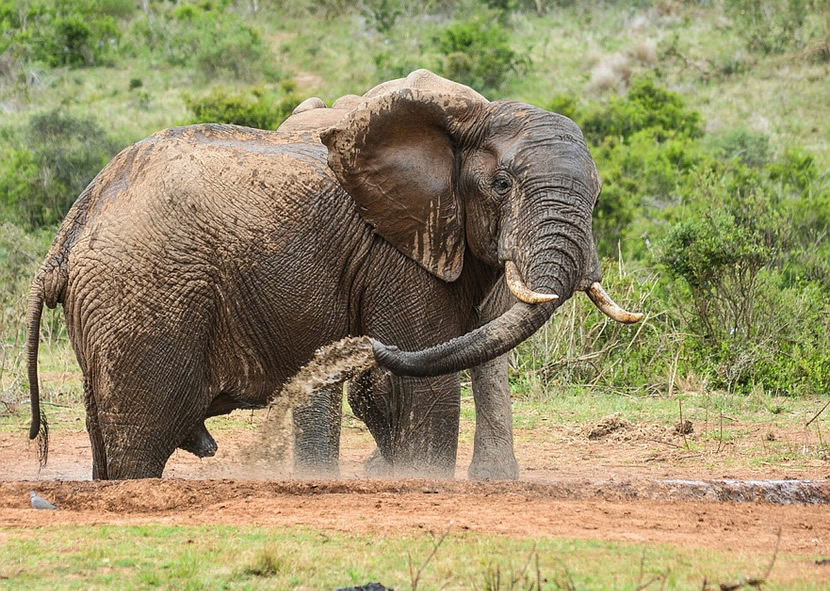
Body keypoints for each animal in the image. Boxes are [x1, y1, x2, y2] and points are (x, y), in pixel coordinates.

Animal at [26, 69, 640, 480]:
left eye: (599, 197)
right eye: (502, 185)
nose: (356, 346)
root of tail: (70, 230)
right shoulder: (398, 253)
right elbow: (426, 382)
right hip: (144, 297)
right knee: (141, 439)